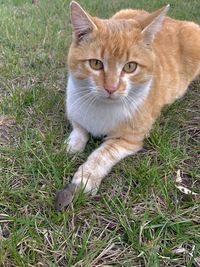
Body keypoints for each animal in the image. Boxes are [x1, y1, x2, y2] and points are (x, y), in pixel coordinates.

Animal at [58, 0, 200, 207]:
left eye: (130, 66)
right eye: (95, 64)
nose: (111, 87)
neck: (102, 107)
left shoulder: (128, 140)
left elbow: (102, 154)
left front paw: (86, 177)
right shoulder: (75, 108)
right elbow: (79, 128)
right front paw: (72, 145)